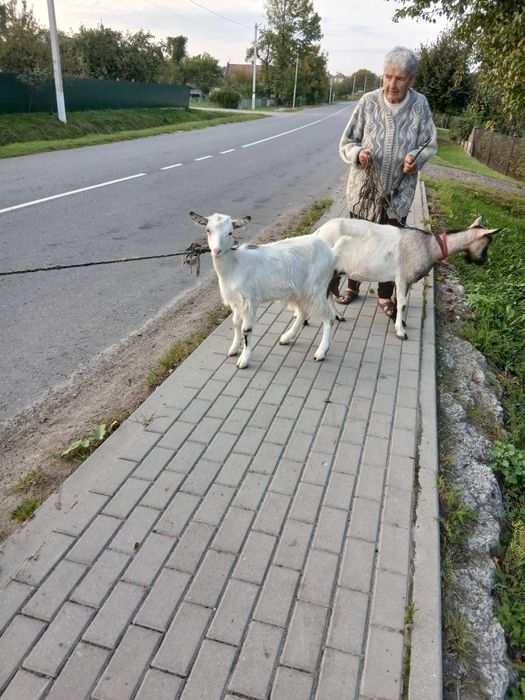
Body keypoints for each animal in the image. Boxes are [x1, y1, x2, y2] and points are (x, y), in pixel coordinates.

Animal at [190, 211, 337, 368]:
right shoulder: (236, 301)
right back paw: (286, 338)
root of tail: (330, 252)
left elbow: (246, 330)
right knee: (302, 313)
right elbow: (235, 323)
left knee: (329, 317)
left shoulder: (249, 300)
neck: (234, 265)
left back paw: (321, 352)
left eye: (230, 232)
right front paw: (234, 349)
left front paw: (244, 360)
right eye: (208, 230)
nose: (216, 251)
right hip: (299, 290)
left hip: (317, 287)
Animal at [314, 215, 500, 340]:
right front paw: (401, 331)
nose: (482, 261)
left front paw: (401, 322)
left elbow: (401, 302)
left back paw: (337, 316)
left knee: (329, 291)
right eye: (488, 242)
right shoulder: (403, 277)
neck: (430, 246)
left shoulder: (406, 280)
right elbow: (402, 304)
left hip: (335, 271)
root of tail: (318, 232)